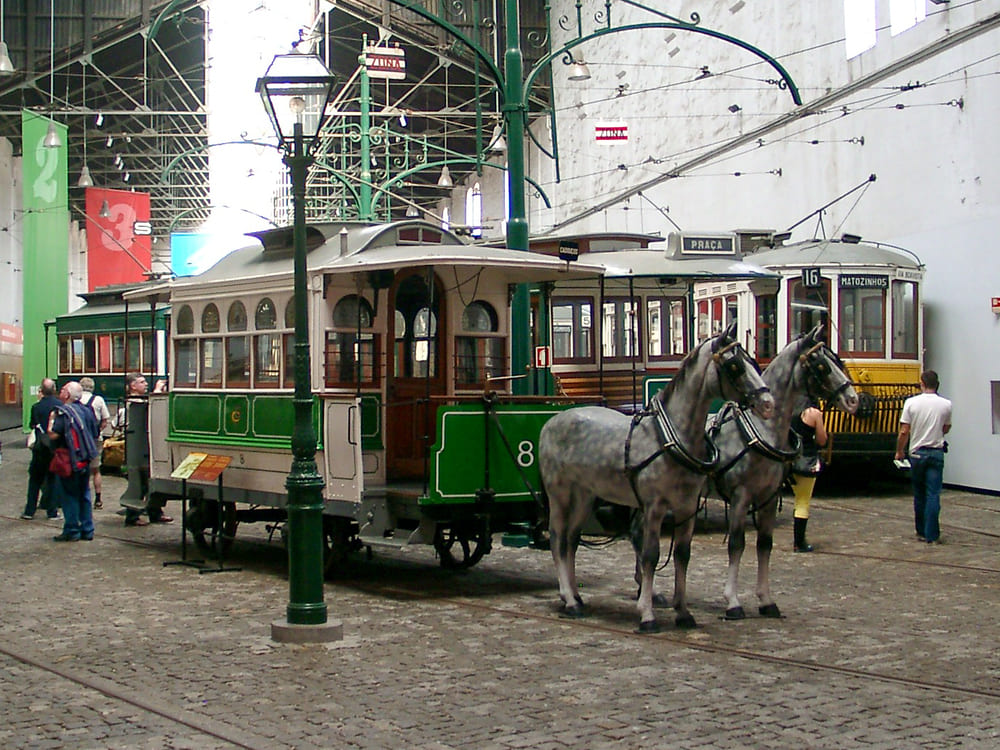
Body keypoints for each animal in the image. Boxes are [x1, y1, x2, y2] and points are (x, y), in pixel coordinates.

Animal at [540, 320, 772, 632]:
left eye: (751, 361)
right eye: (734, 365)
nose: (768, 403)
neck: (672, 435)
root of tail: (552, 420)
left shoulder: (687, 507)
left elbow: (683, 555)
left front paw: (683, 613)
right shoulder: (653, 507)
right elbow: (650, 555)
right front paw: (647, 615)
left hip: (585, 496)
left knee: (571, 541)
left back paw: (575, 596)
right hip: (560, 494)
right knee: (556, 538)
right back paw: (569, 600)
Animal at [712, 324, 860, 624]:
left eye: (836, 359)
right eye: (822, 365)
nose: (854, 400)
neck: (759, 431)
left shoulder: (768, 499)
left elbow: (764, 545)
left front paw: (766, 601)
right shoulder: (740, 498)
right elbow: (736, 544)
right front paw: (732, 601)